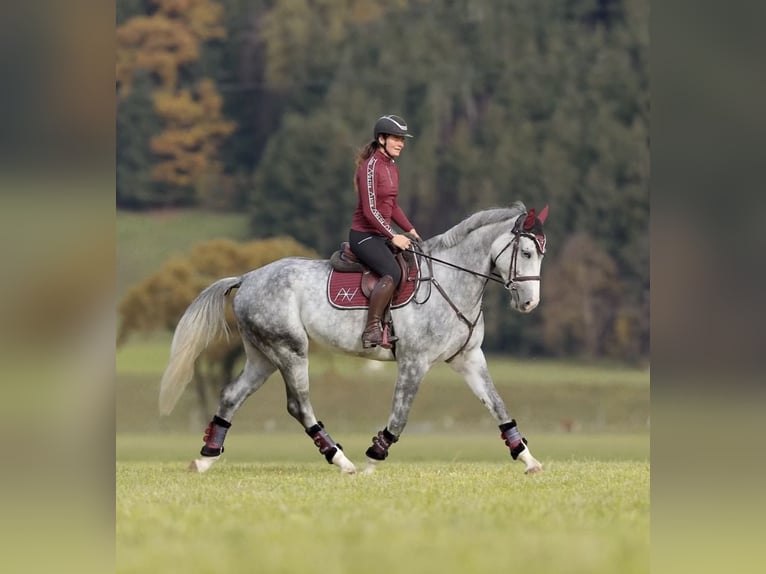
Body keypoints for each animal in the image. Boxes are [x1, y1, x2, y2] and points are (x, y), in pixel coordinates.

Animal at [159, 201, 548, 475]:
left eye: (540, 254)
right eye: (527, 253)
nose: (530, 304)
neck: (452, 281)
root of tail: (248, 277)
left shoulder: (468, 358)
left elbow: (498, 406)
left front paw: (528, 459)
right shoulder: (414, 361)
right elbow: (400, 414)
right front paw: (374, 459)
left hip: (262, 356)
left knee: (231, 396)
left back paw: (205, 459)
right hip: (290, 350)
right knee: (299, 405)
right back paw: (341, 461)